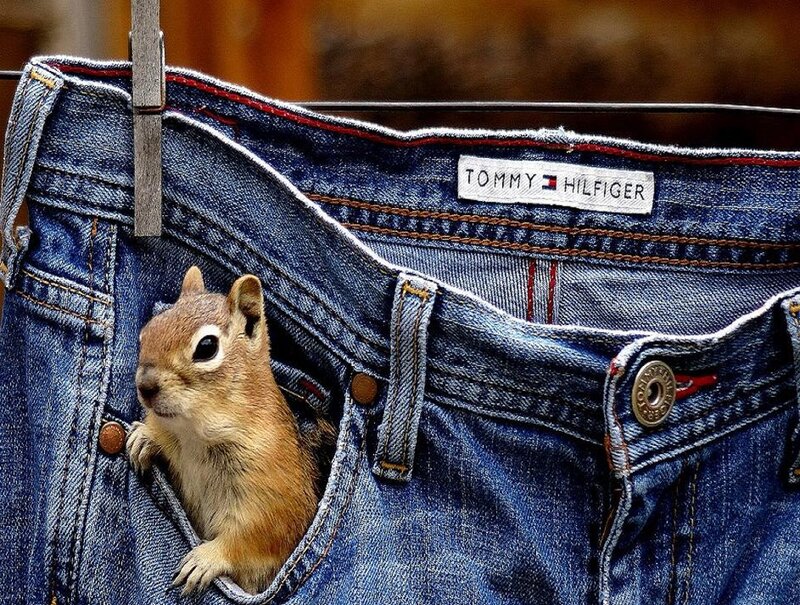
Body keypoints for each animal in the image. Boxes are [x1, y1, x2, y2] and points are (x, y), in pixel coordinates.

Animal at [127, 266, 334, 595]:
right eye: (147, 330)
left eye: (206, 347)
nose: (144, 386)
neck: (196, 435)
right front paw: (143, 437)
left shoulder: (272, 504)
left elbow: (250, 541)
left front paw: (205, 559)